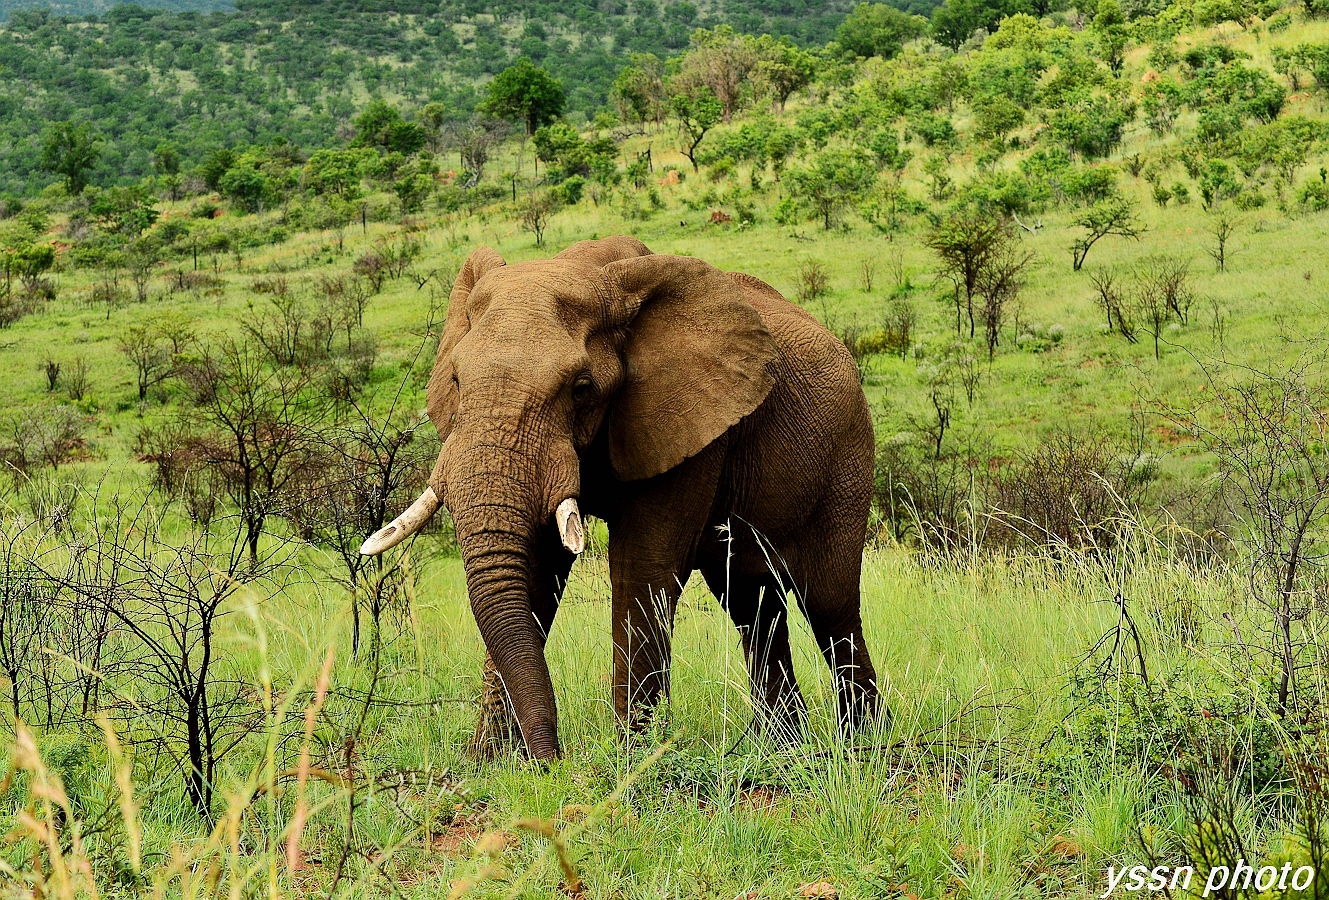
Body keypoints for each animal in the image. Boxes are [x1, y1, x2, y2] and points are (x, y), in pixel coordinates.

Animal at [364, 233, 882, 760]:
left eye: (581, 388)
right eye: (455, 380)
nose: (554, 759)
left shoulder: (689, 426)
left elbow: (643, 567)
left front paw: (633, 758)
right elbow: (535, 571)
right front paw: (492, 762)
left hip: (848, 453)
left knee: (829, 603)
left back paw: (861, 743)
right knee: (752, 603)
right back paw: (781, 748)